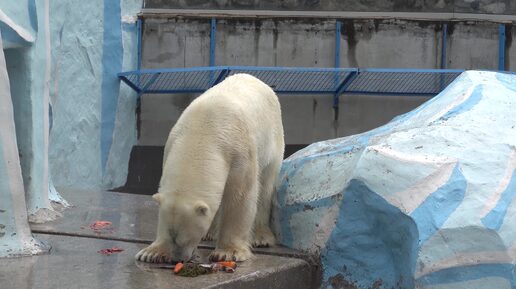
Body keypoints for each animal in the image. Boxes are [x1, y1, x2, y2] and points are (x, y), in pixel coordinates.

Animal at [135, 73, 284, 262]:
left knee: (265, 188)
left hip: (272, 140)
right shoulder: (171, 145)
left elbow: (240, 196)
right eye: (171, 236)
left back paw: (261, 237)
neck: (202, 130)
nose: (178, 259)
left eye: (185, 239)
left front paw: (228, 252)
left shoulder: (239, 150)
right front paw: (152, 252)